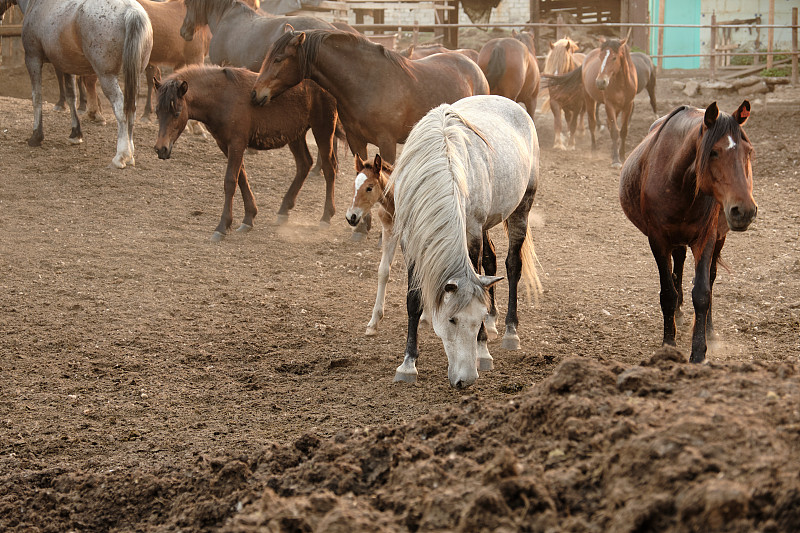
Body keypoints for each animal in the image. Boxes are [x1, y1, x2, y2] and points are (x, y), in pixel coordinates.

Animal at [0, 0, 152, 168]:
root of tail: (130, 11)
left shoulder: (33, 58)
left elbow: (37, 97)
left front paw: (36, 136)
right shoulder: (66, 64)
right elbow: (71, 96)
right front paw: (75, 133)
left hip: (107, 76)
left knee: (120, 107)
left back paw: (120, 156)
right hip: (135, 75)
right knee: (131, 108)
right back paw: (130, 155)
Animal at [153, 64, 338, 241]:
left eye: (177, 113)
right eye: (157, 111)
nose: (161, 149)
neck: (222, 97)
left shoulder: (236, 144)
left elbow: (230, 181)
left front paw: (222, 226)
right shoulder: (225, 145)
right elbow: (241, 177)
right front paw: (249, 218)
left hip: (323, 129)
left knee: (329, 169)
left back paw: (326, 217)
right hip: (295, 135)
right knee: (304, 164)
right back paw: (284, 210)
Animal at [252, 27, 488, 163]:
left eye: (278, 59)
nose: (255, 94)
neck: (366, 84)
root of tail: (473, 65)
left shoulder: (387, 144)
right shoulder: (357, 142)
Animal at [390, 94, 540, 386]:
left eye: (474, 319)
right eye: (451, 320)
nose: (466, 380)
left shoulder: (471, 232)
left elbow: (479, 275)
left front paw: (482, 349)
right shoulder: (411, 241)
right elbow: (413, 300)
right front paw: (408, 364)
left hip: (521, 208)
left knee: (512, 265)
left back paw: (509, 331)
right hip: (487, 221)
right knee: (491, 261)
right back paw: (494, 321)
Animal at [620, 101, 760, 364]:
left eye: (748, 151)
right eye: (714, 152)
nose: (744, 210)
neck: (678, 180)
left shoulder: (706, 239)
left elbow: (703, 293)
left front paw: (698, 351)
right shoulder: (658, 240)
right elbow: (668, 292)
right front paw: (668, 343)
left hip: (718, 237)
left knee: (710, 278)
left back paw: (709, 330)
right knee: (678, 266)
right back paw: (678, 314)